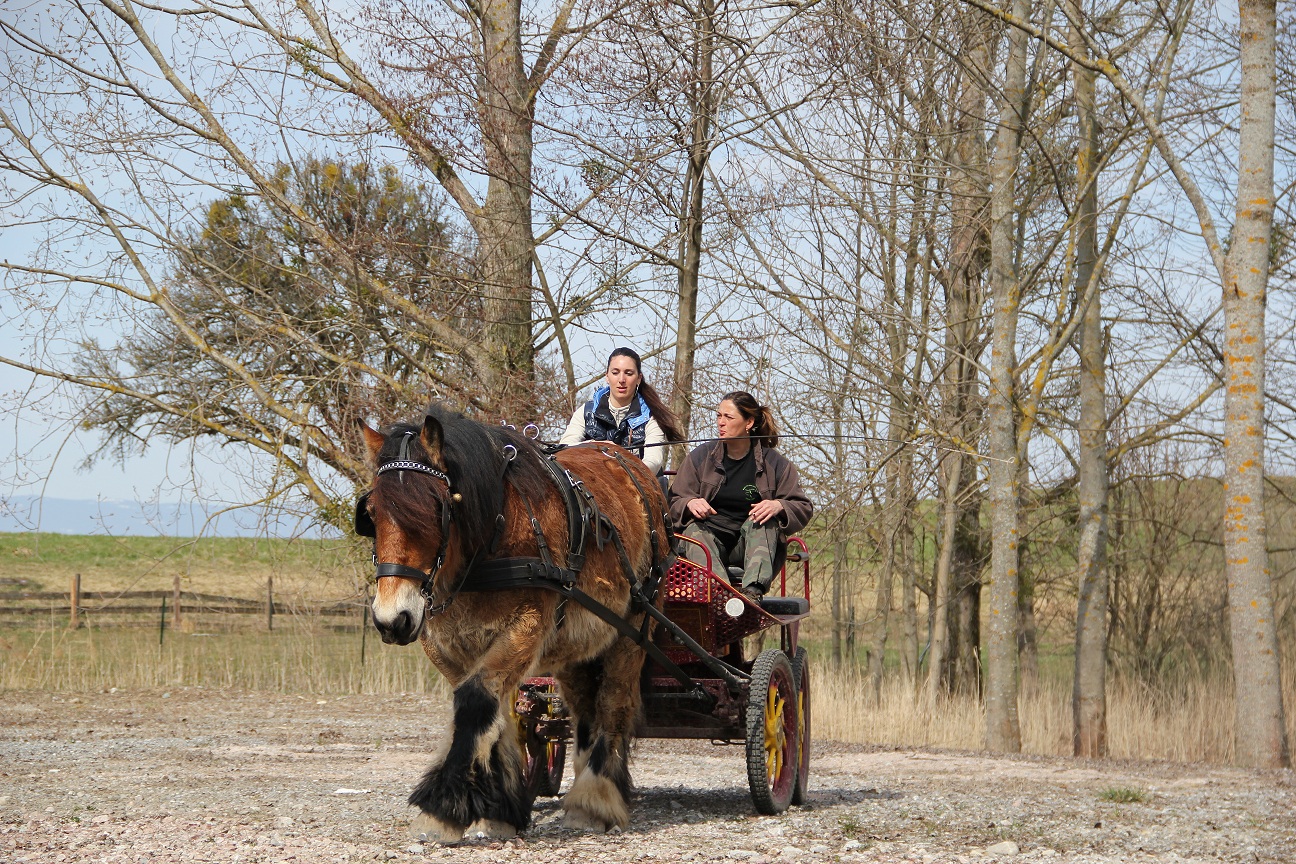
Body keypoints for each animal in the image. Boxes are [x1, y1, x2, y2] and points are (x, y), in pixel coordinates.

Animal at [360, 406, 673, 844]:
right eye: (371, 514)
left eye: (436, 509)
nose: (392, 619)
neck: (492, 532)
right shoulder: (448, 644)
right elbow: (490, 712)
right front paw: (498, 807)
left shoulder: (525, 627)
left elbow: (475, 702)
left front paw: (441, 808)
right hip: (577, 644)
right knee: (585, 710)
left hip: (633, 629)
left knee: (613, 703)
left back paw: (595, 798)